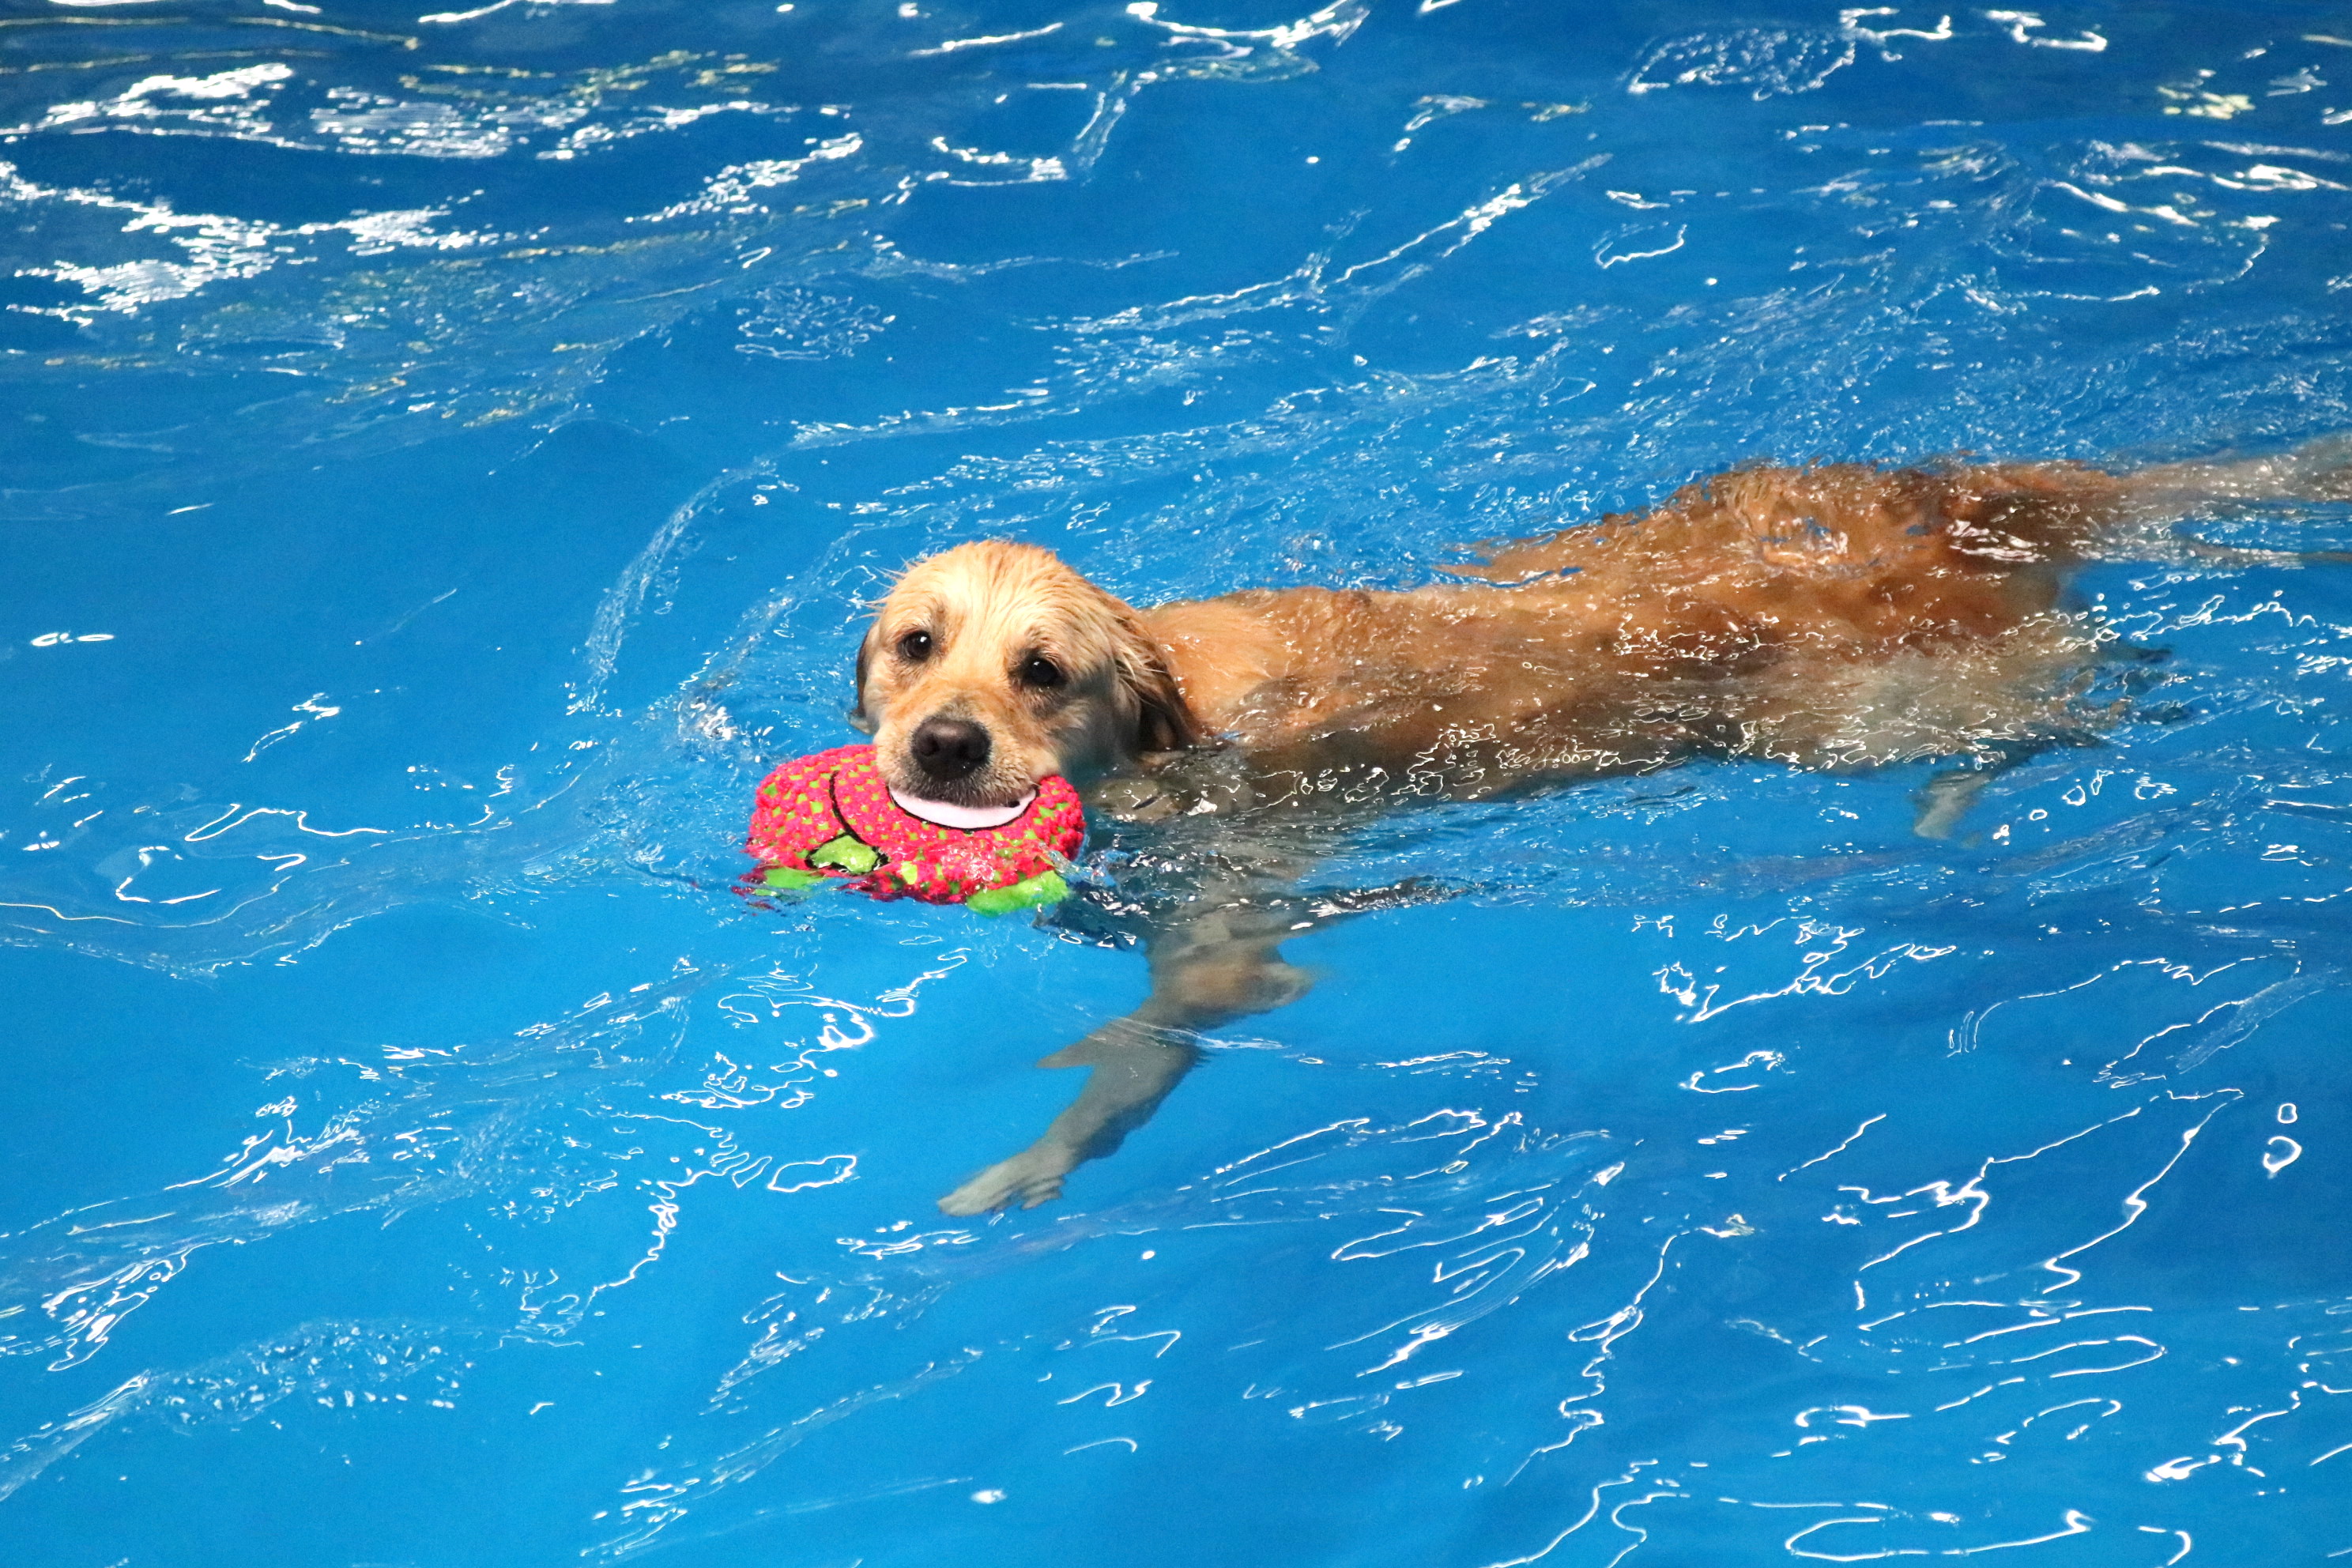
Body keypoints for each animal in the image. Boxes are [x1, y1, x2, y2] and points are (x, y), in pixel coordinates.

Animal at [846, 442, 2352, 1212]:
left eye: (1041, 670)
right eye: (918, 646)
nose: (943, 743)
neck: (1180, 725)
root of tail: (1960, 491)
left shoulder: (1235, 934)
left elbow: (1141, 1043)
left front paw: (1028, 1160)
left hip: (1865, 707)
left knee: (2062, 699)